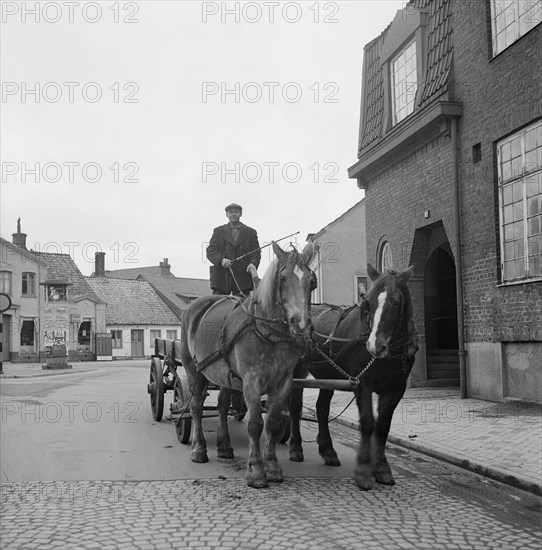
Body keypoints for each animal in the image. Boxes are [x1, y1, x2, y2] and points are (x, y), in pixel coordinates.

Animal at [181, 244, 316, 490]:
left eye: (312, 281)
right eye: (283, 277)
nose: (300, 324)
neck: (268, 330)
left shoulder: (283, 382)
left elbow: (272, 423)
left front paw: (272, 467)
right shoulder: (252, 381)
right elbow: (254, 424)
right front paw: (255, 470)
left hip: (224, 375)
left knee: (222, 405)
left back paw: (224, 446)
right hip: (194, 369)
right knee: (195, 406)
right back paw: (199, 449)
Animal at [292, 266, 418, 494]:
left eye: (396, 302)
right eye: (367, 301)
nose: (375, 346)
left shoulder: (396, 388)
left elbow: (383, 426)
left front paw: (382, 469)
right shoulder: (362, 384)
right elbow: (368, 423)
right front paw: (363, 471)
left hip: (327, 375)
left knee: (322, 408)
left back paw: (328, 451)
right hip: (297, 370)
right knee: (295, 406)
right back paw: (295, 447)